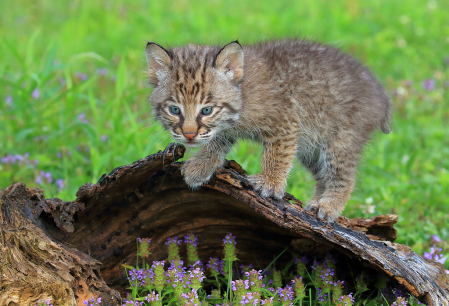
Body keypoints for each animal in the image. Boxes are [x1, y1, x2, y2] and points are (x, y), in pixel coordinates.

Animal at [145, 39, 390, 221]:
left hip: (341, 139)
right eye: (174, 109)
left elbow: (276, 154)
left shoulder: (286, 120)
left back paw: (328, 206)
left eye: (206, 110)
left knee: (344, 176)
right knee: (323, 175)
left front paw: (271, 183)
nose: (188, 135)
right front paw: (201, 165)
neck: (242, 95)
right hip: (312, 146)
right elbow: (218, 140)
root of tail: (380, 92)